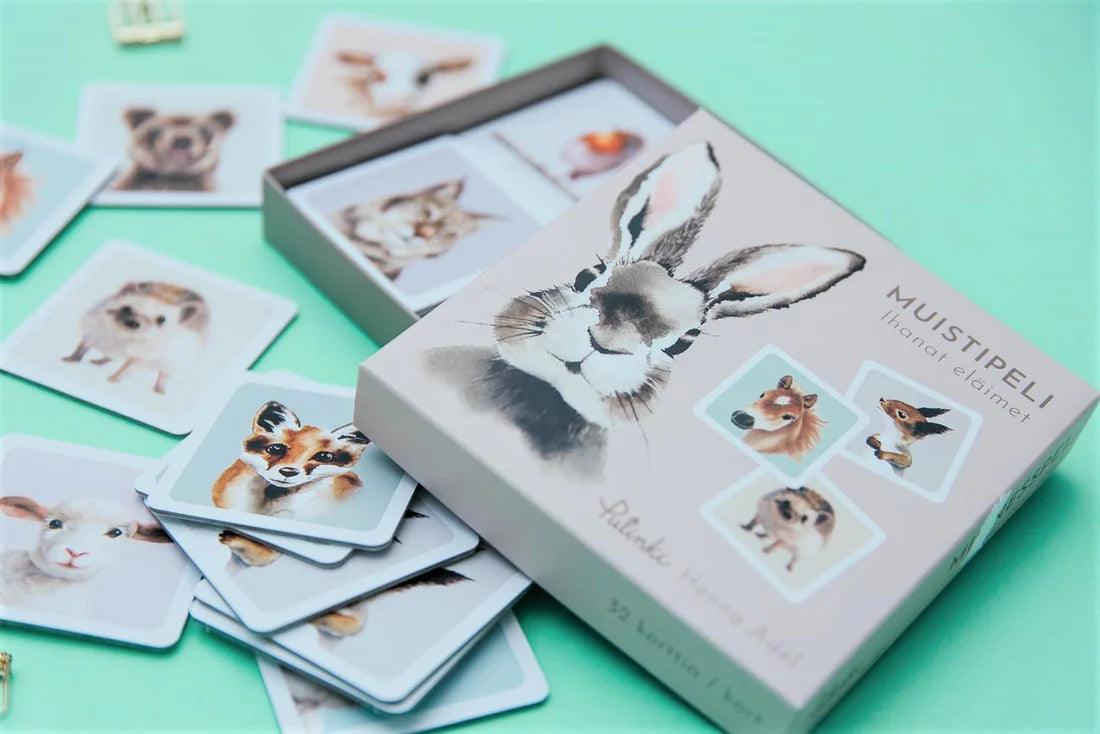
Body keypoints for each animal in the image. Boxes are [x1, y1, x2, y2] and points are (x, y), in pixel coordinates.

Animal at [63, 281, 210, 394]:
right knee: (109, 356)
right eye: (126, 308)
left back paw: (159, 389)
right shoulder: (95, 328)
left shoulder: (147, 353)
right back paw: (99, 360)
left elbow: (130, 365)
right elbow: (84, 345)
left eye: (161, 319)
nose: (133, 322)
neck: (122, 335)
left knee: (165, 372)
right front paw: (71, 358)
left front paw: (114, 378)